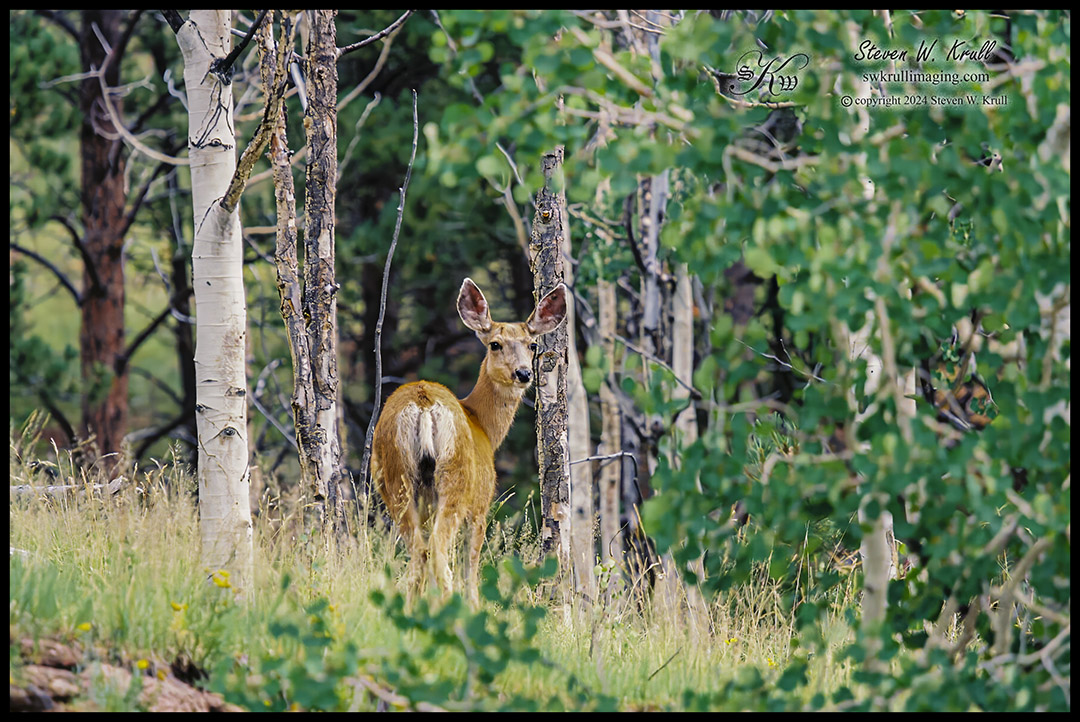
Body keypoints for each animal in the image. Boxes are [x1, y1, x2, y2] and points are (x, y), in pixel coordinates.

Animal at [371, 278, 568, 605]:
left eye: (532, 345)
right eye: (495, 344)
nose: (523, 373)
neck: (482, 424)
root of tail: (423, 403)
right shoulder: (481, 505)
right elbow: (471, 568)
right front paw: (475, 605)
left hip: (396, 478)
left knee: (419, 551)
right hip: (456, 479)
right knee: (438, 550)